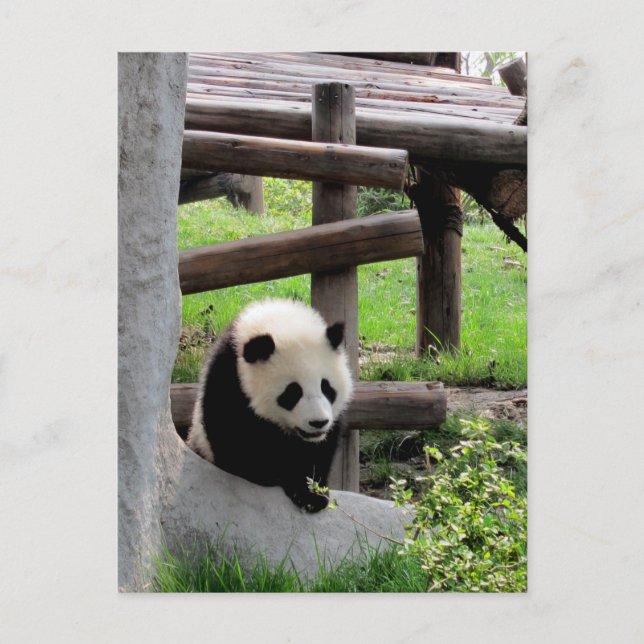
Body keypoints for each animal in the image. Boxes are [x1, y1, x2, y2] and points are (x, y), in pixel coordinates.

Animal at [187, 298, 354, 513]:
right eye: (292, 393)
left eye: (326, 387)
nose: (318, 422)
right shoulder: (230, 381)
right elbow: (238, 444)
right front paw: (275, 477)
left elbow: (319, 450)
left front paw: (312, 495)